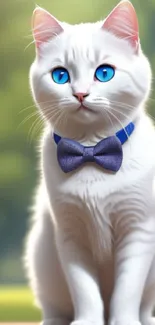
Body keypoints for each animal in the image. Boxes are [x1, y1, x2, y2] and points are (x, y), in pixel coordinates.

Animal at [24, 1, 155, 324]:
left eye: (104, 73)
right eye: (60, 76)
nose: (80, 94)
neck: (91, 150)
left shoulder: (138, 230)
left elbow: (126, 292)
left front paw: (123, 321)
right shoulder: (70, 234)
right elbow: (84, 291)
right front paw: (87, 321)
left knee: (145, 304)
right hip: (42, 264)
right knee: (53, 307)